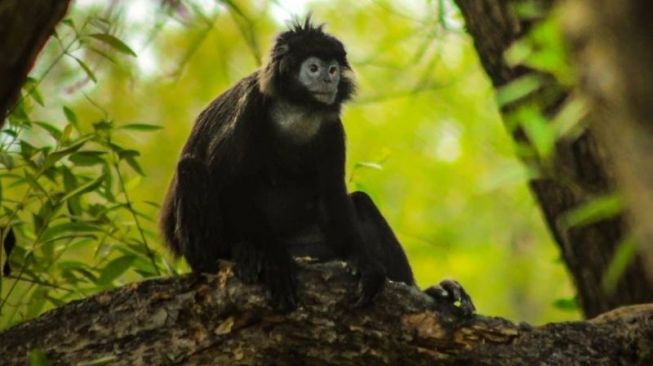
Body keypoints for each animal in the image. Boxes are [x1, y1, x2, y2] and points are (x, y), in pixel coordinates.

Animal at [159, 17, 474, 314]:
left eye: (332, 70)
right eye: (313, 68)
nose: (328, 81)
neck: (297, 109)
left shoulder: (331, 127)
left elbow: (332, 194)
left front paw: (365, 264)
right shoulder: (248, 107)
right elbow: (229, 183)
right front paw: (271, 260)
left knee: (360, 202)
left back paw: (435, 291)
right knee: (191, 169)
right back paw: (234, 255)